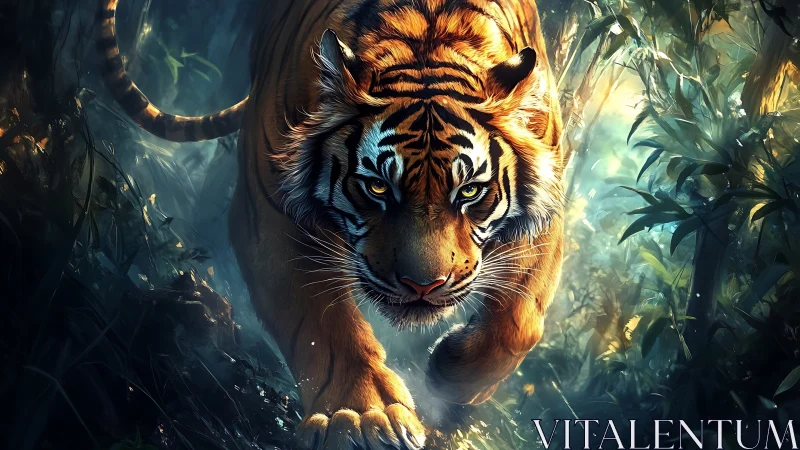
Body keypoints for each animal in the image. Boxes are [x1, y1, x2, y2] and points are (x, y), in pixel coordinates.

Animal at [98, 0, 564, 448]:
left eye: (468, 191)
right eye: (377, 186)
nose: (422, 286)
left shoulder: (546, 217)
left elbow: (520, 320)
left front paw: (450, 374)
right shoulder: (270, 213)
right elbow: (324, 326)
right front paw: (362, 416)